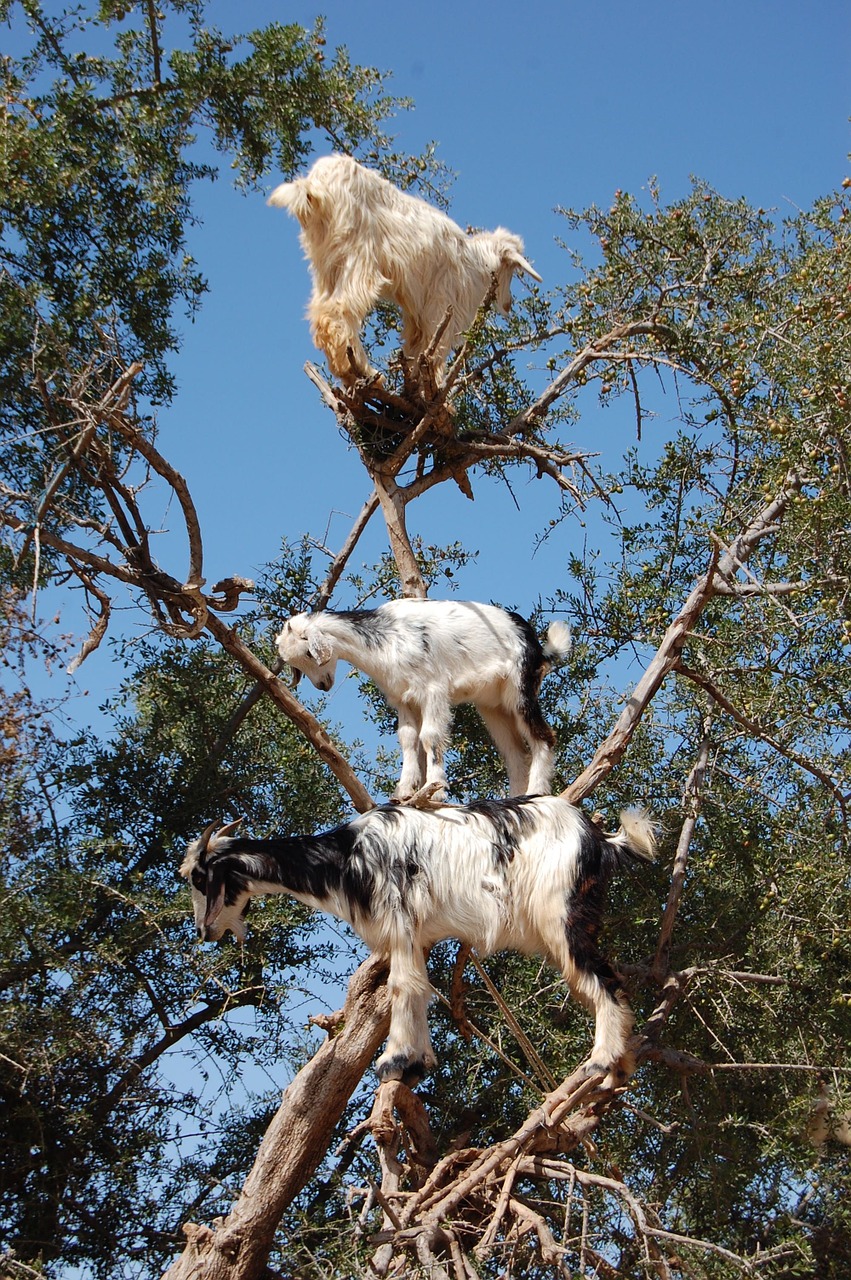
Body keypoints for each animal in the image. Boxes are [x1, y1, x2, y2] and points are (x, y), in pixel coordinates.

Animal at [182, 798, 652, 1090]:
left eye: (199, 877)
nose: (205, 932)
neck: (345, 856)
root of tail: (602, 840)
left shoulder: (400, 923)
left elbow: (401, 988)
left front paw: (393, 1061)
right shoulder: (417, 934)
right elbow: (421, 988)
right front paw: (419, 1062)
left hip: (563, 918)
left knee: (607, 981)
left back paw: (601, 1062)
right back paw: (621, 1066)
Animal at [268, 152, 540, 381]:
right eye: (513, 270)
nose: (509, 304)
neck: (476, 262)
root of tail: (314, 186)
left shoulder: (417, 312)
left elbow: (417, 350)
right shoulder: (441, 304)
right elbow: (435, 350)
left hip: (326, 263)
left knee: (320, 312)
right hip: (358, 255)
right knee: (337, 310)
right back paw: (363, 371)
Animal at [275, 599, 573, 798]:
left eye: (309, 653)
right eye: (296, 663)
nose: (322, 685)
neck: (386, 638)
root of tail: (536, 645)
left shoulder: (434, 691)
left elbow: (430, 737)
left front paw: (435, 789)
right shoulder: (403, 698)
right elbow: (408, 739)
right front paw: (405, 791)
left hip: (520, 690)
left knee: (543, 737)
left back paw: (536, 792)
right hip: (493, 706)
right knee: (515, 753)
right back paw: (515, 799)